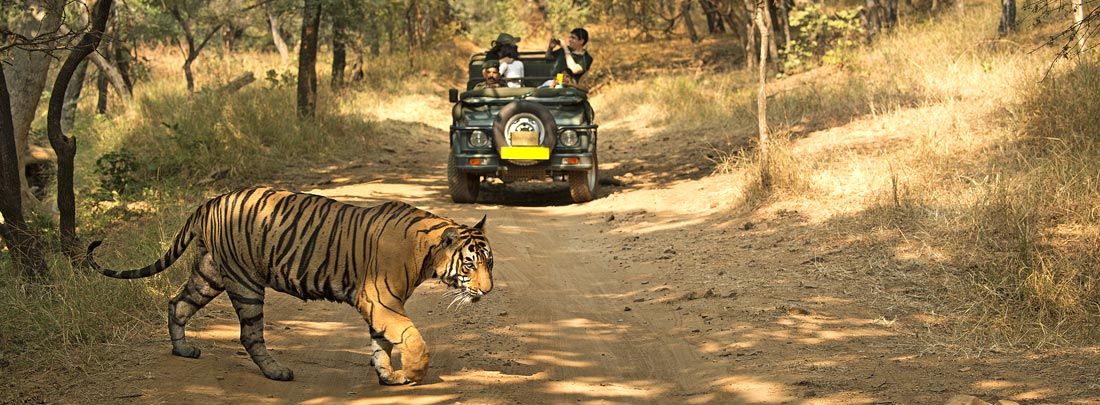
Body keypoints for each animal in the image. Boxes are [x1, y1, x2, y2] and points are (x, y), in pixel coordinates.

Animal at [86, 186, 494, 385]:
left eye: (490, 263)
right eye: (469, 263)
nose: (488, 291)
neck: (427, 255)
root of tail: (211, 201)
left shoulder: (380, 306)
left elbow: (381, 343)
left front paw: (387, 376)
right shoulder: (381, 300)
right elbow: (412, 338)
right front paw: (412, 373)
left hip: (209, 273)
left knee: (177, 303)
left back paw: (183, 350)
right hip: (246, 283)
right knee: (249, 335)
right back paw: (277, 372)